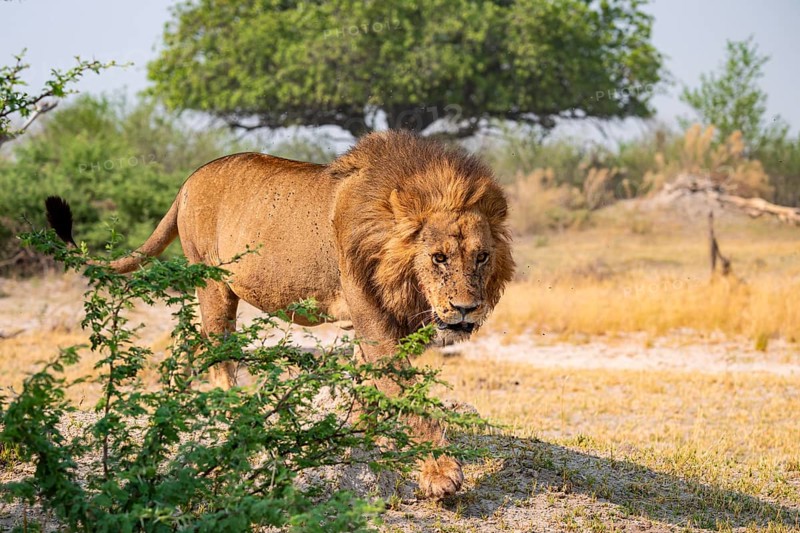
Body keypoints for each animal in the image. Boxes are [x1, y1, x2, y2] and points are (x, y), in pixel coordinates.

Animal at [47, 130, 514, 499]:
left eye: (482, 257)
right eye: (438, 257)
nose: (466, 310)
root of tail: (188, 180)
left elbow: (370, 385)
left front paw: (355, 439)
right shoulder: (371, 316)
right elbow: (407, 393)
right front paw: (441, 474)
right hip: (213, 284)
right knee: (219, 356)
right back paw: (236, 418)